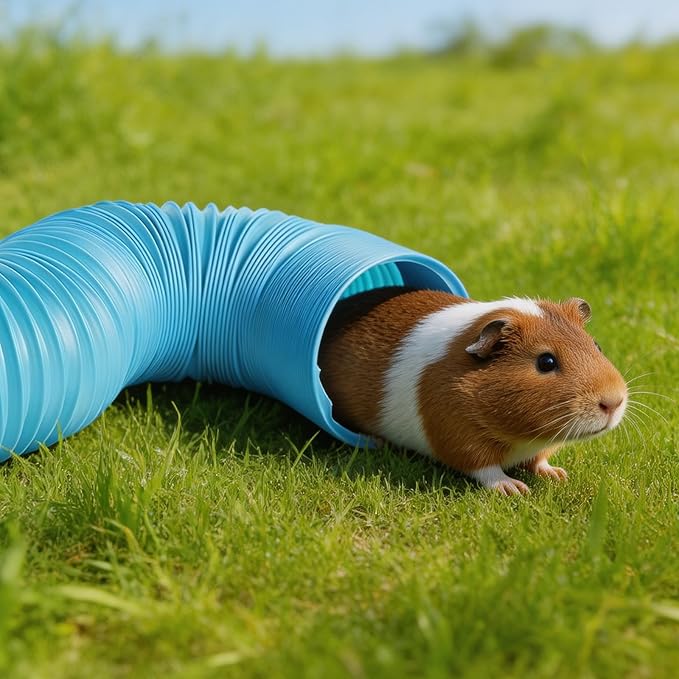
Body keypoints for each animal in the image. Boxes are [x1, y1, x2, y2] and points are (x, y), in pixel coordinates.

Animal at [318, 287, 627, 495]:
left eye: (596, 345)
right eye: (546, 362)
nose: (613, 402)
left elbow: (540, 460)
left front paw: (558, 475)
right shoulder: (459, 437)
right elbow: (485, 469)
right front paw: (515, 489)